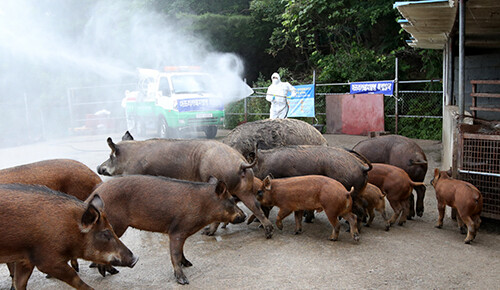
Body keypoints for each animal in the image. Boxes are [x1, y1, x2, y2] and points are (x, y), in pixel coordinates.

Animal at [0, 184, 137, 290]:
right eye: (105, 233)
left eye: (112, 228)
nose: (135, 258)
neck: (69, 228)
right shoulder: (47, 260)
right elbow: (76, 279)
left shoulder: (24, 260)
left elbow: (20, 283)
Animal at [88, 173, 248, 284]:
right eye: (231, 200)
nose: (244, 216)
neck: (204, 205)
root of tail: (93, 195)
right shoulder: (176, 231)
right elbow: (175, 254)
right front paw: (184, 281)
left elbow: (181, 250)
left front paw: (189, 264)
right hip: (115, 226)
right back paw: (112, 272)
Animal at [95, 131, 272, 238]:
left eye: (110, 156)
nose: (98, 167)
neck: (129, 158)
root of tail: (241, 163)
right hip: (245, 188)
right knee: (255, 206)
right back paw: (268, 232)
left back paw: (207, 233)